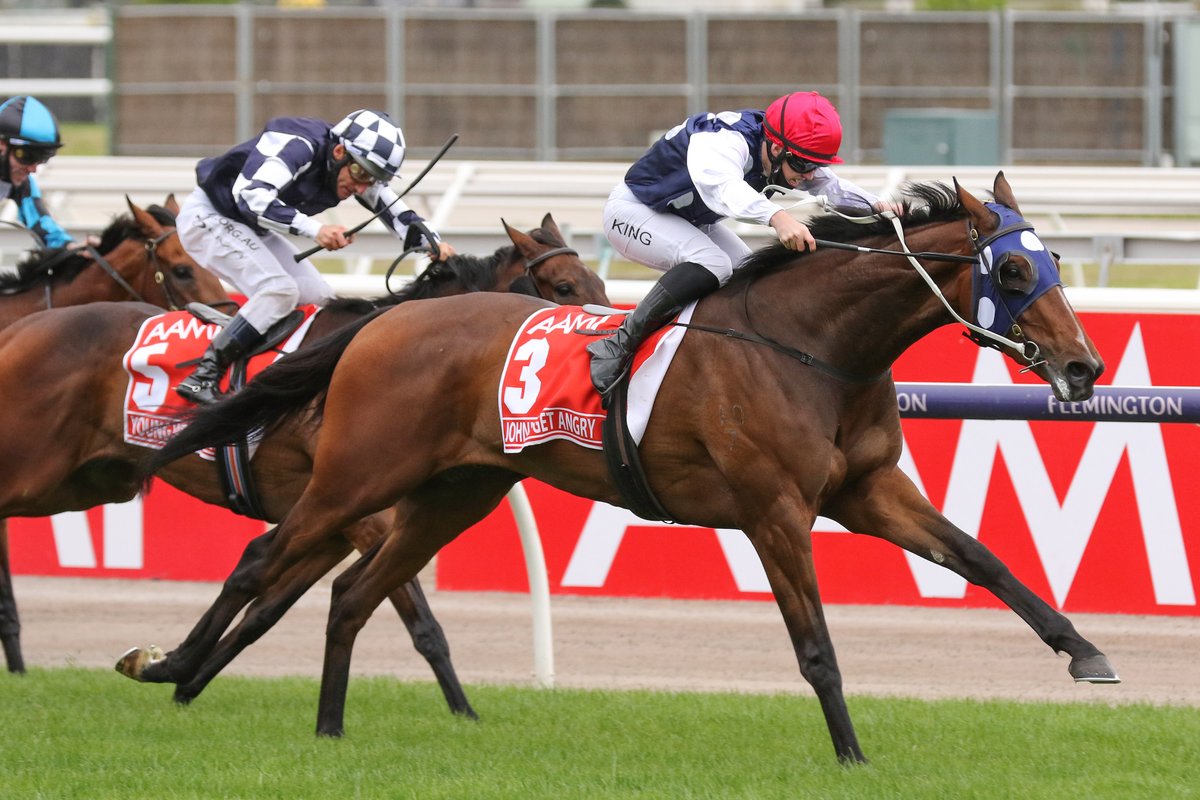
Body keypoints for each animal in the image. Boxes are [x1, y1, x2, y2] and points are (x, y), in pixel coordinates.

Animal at [0, 212, 608, 704]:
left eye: (601, 283)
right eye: (562, 286)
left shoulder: (334, 524)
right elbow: (420, 622)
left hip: (89, 481)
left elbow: (264, 611)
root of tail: (23, 330)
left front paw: (185, 683)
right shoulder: (361, 513)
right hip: (37, 471)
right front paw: (464, 712)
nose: (598, 347)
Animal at [133, 173, 1119, 763]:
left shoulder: (866, 491)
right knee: (268, 561)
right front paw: (851, 754)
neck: (815, 345)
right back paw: (169, 668)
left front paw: (1086, 653)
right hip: (356, 475)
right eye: (1016, 269)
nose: (1084, 369)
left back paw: (329, 728)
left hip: (457, 492)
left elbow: (981, 558)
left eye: (1054, 261)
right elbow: (816, 647)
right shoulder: (775, 508)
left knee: (348, 593)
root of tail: (380, 321)